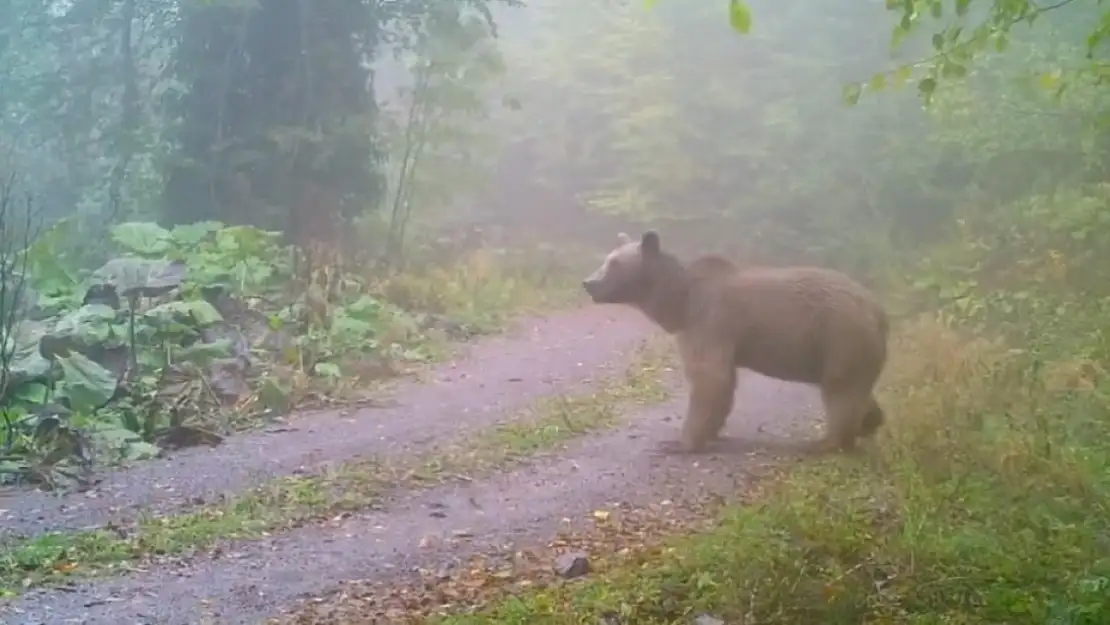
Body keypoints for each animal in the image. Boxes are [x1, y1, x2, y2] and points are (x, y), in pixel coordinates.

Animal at [586, 229, 888, 455]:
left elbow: (710, 377)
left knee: (841, 391)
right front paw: (713, 432)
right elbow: (723, 381)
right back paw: (870, 422)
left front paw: (678, 442)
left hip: (840, 337)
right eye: (606, 259)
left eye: (614, 264)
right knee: (855, 389)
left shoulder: (709, 321)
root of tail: (878, 309)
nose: (588, 282)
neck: (680, 303)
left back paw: (826, 442)